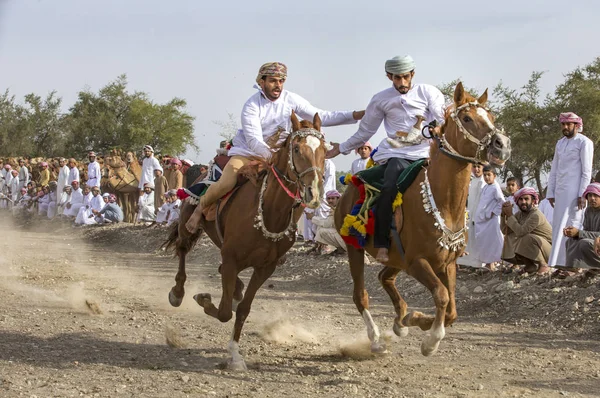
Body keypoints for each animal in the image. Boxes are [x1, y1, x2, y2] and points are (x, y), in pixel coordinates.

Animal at [162, 111, 326, 370]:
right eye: (297, 149)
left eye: (324, 150)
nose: (313, 192)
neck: (268, 212)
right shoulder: (231, 258)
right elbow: (224, 312)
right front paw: (203, 299)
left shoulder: (265, 268)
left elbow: (242, 310)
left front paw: (235, 354)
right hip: (188, 226)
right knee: (182, 250)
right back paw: (178, 292)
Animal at [332, 82, 510, 356]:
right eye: (467, 118)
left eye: (491, 116)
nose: (501, 144)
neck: (443, 203)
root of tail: (350, 185)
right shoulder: (417, 262)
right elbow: (442, 296)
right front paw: (430, 340)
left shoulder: (447, 263)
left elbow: (452, 310)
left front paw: (414, 320)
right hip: (355, 248)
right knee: (360, 295)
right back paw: (376, 340)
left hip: (395, 257)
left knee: (384, 277)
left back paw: (400, 321)